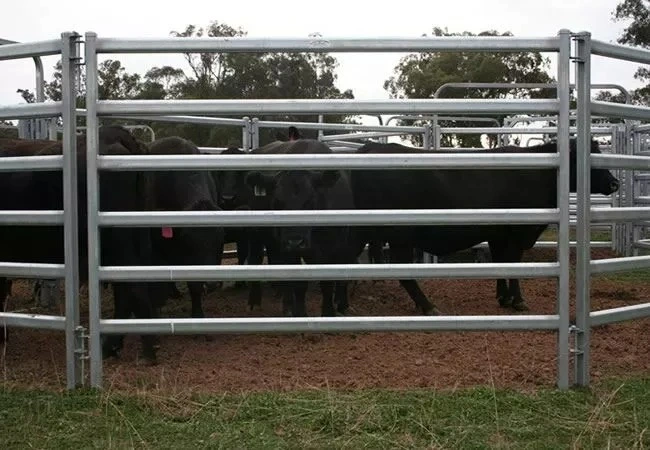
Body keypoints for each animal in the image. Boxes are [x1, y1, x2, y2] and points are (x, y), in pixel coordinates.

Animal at [350, 139, 616, 314]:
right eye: (588, 158)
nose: (615, 183)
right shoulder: (517, 233)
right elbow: (513, 264)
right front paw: (517, 300)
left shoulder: (498, 233)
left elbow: (501, 263)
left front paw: (503, 297)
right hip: (399, 234)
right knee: (402, 270)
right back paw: (427, 305)